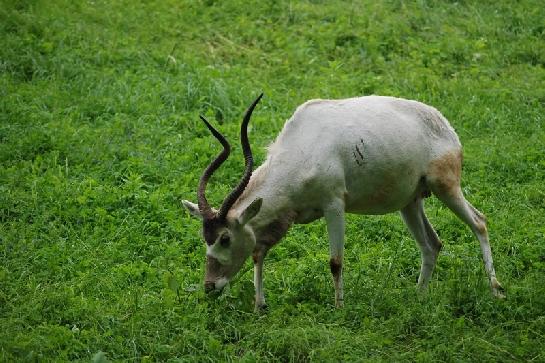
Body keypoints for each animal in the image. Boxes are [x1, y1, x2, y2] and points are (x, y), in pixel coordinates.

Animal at [184, 94, 506, 310]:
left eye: (225, 238)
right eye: (205, 238)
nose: (210, 286)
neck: (303, 146)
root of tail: (445, 126)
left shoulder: (334, 206)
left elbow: (335, 261)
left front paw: (339, 308)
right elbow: (257, 254)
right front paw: (259, 306)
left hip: (446, 186)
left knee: (479, 222)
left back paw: (496, 290)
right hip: (411, 203)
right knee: (432, 244)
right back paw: (418, 297)